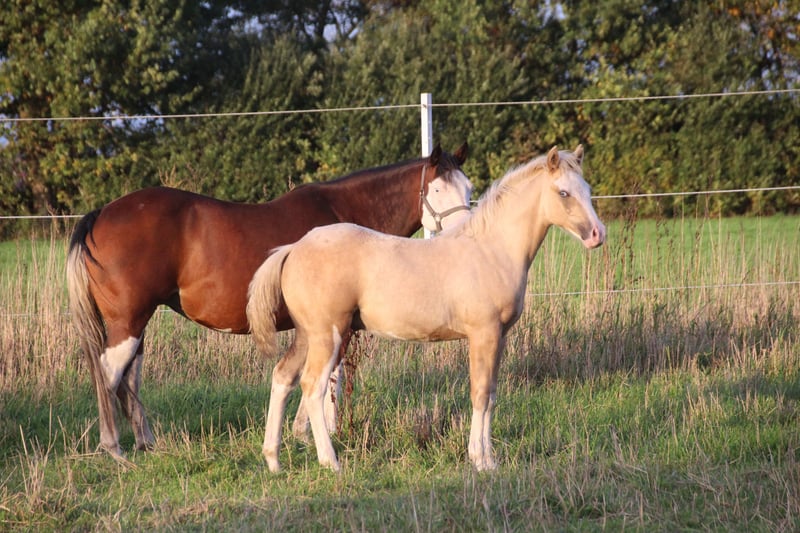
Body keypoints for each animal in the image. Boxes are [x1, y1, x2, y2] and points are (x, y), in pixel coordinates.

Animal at [66, 143, 471, 458]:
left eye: (468, 189)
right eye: (436, 191)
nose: (463, 234)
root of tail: (101, 214)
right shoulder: (332, 326)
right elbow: (329, 377)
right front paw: (318, 434)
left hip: (137, 323)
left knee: (128, 377)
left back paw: (145, 442)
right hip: (129, 322)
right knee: (109, 373)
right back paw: (114, 449)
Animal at [246, 145, 605, 472]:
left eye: (587, 190)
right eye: (563, 192)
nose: (597, 235)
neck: (490, 248)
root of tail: (294, 248)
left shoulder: (499, 336)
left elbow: (490, 395)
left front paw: (489, 459)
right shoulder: (484, 334)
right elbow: (479, 393)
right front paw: (481, 461)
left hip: (307, 334)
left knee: (283, 376)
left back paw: (273, 461)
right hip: (327, 334)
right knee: (313, 387)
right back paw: (330, 462)